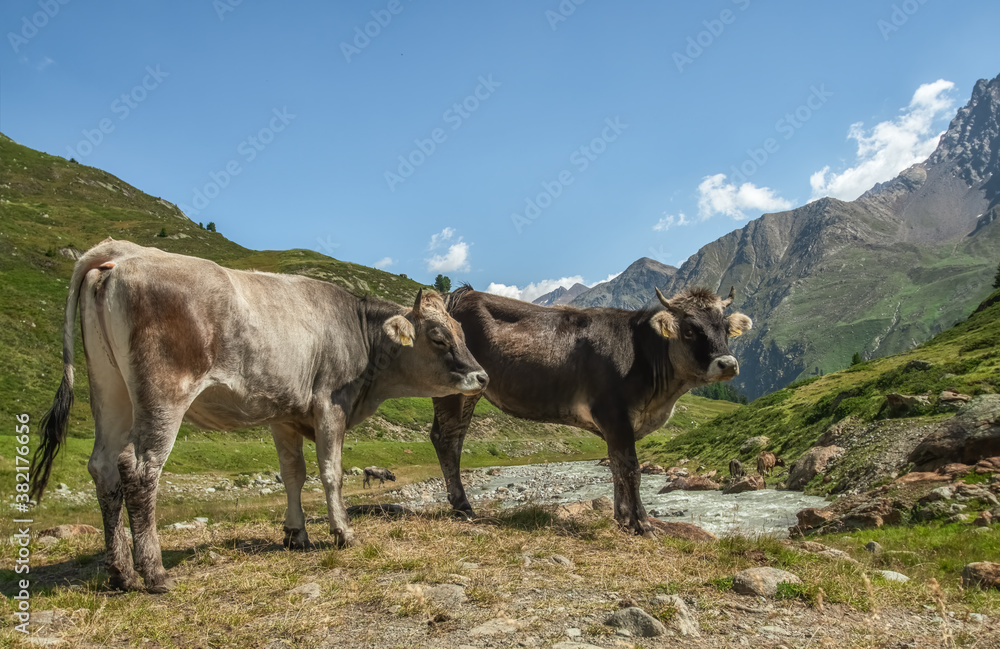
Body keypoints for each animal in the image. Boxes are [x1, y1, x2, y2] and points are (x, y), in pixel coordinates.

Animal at [28, 239, 488, 592]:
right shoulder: (330, 404)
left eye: (463, 334)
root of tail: (123, 253)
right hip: (163, 395)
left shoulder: (284, 414)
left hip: (110, 390)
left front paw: (296, 534)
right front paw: (343, 532)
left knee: (104, 466)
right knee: (140, 469)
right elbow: (331, 472)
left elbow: (293, 474)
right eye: (438, 337)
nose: (482, 375)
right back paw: (154, 573)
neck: (356, 333)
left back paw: (121, 573)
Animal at [428, 286, 752, 536]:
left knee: (453, 439)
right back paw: (464, 507)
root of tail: (460, 294)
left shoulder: (617, 425)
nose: (728, 364)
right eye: (689, 330)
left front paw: (624, 520)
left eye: (725, 328)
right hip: (454, 388)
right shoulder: (615, 415)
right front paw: (643, 524)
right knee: (447, 440)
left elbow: (616, 467)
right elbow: (631, 469)